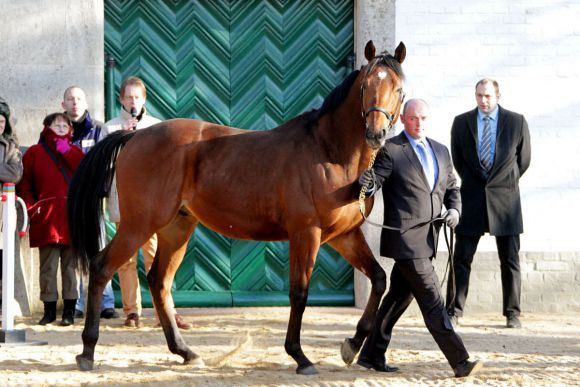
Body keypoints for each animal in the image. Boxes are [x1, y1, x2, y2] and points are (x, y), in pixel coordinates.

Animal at [69, 40, 404, 376]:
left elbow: (379, 279)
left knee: (158, 281)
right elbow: (299, 293)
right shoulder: (306, 233)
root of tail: (134, 134)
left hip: (176, 227)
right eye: (366, 85)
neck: (328, 153)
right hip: (139, 224)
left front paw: (352, 343)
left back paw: (185, 352)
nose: (376, 133)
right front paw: (300, 356)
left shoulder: (344, 235)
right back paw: (87, 351)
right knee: (101, 267)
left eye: (398, 88)